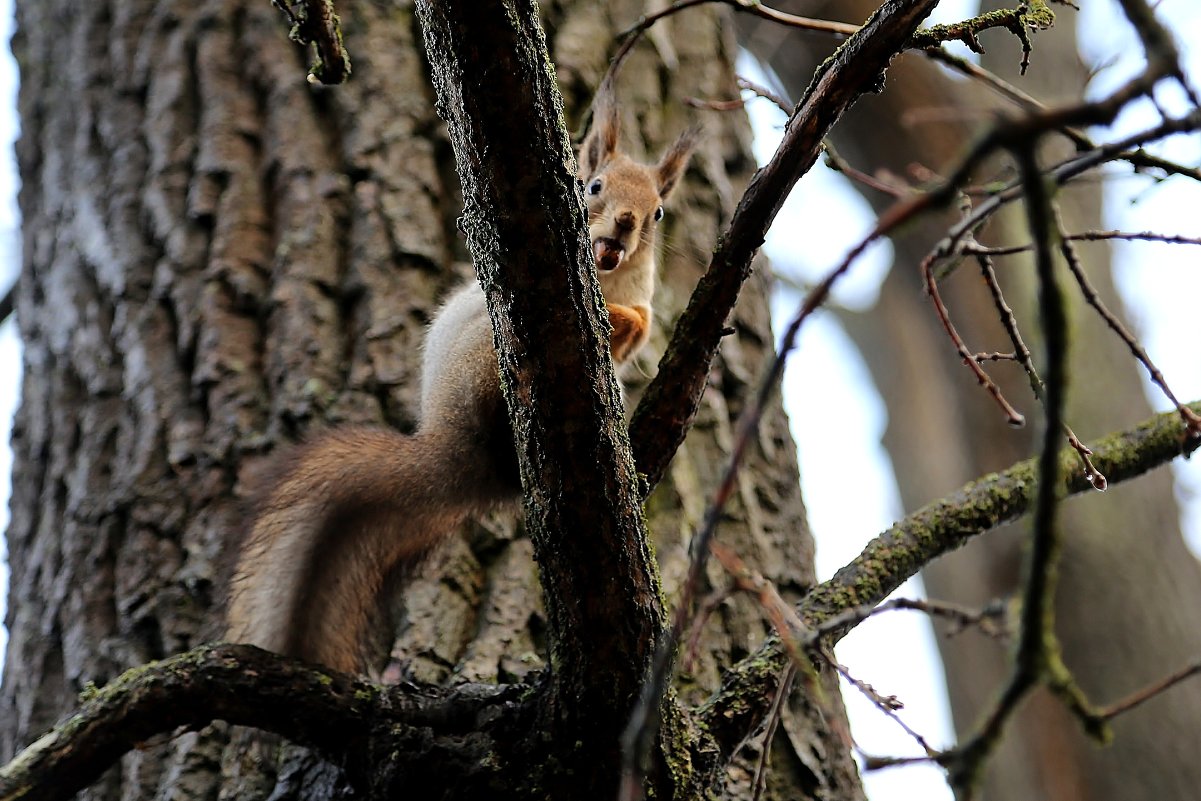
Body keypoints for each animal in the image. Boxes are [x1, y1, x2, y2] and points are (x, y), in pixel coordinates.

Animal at [226, 98, 696, 677]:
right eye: (594, 186)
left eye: (658, 212)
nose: (628, 223)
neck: (610, 278)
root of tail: (454, 446)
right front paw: (617, 320)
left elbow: (644, 324)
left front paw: (633, 324)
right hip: (486, 350)